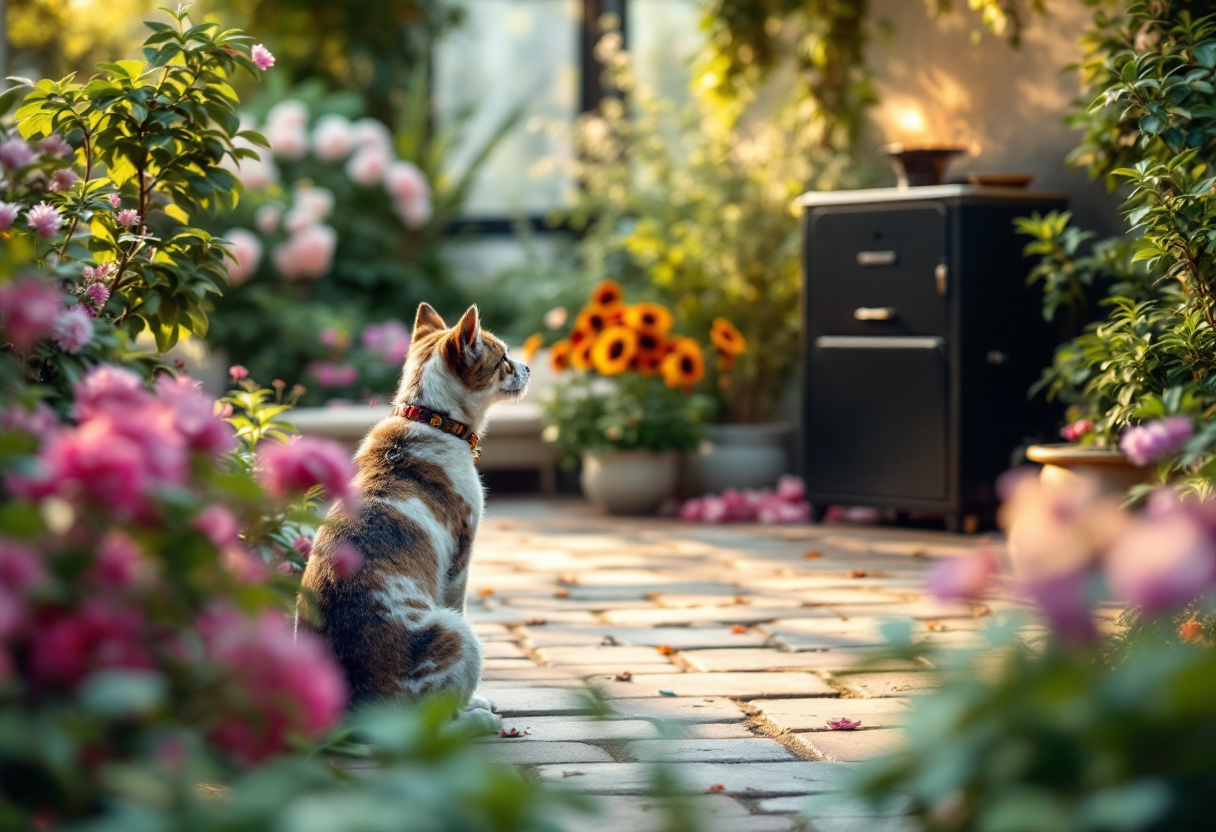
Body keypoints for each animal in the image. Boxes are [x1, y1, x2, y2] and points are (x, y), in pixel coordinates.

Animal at [297, 301, 527, 729]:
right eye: (503, 358)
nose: (528, 367)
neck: (432, 418)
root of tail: (357, 715)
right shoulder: (459, 563)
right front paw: (475, 704)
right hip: (459, 634)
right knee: (434, 726)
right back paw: (476, 721)